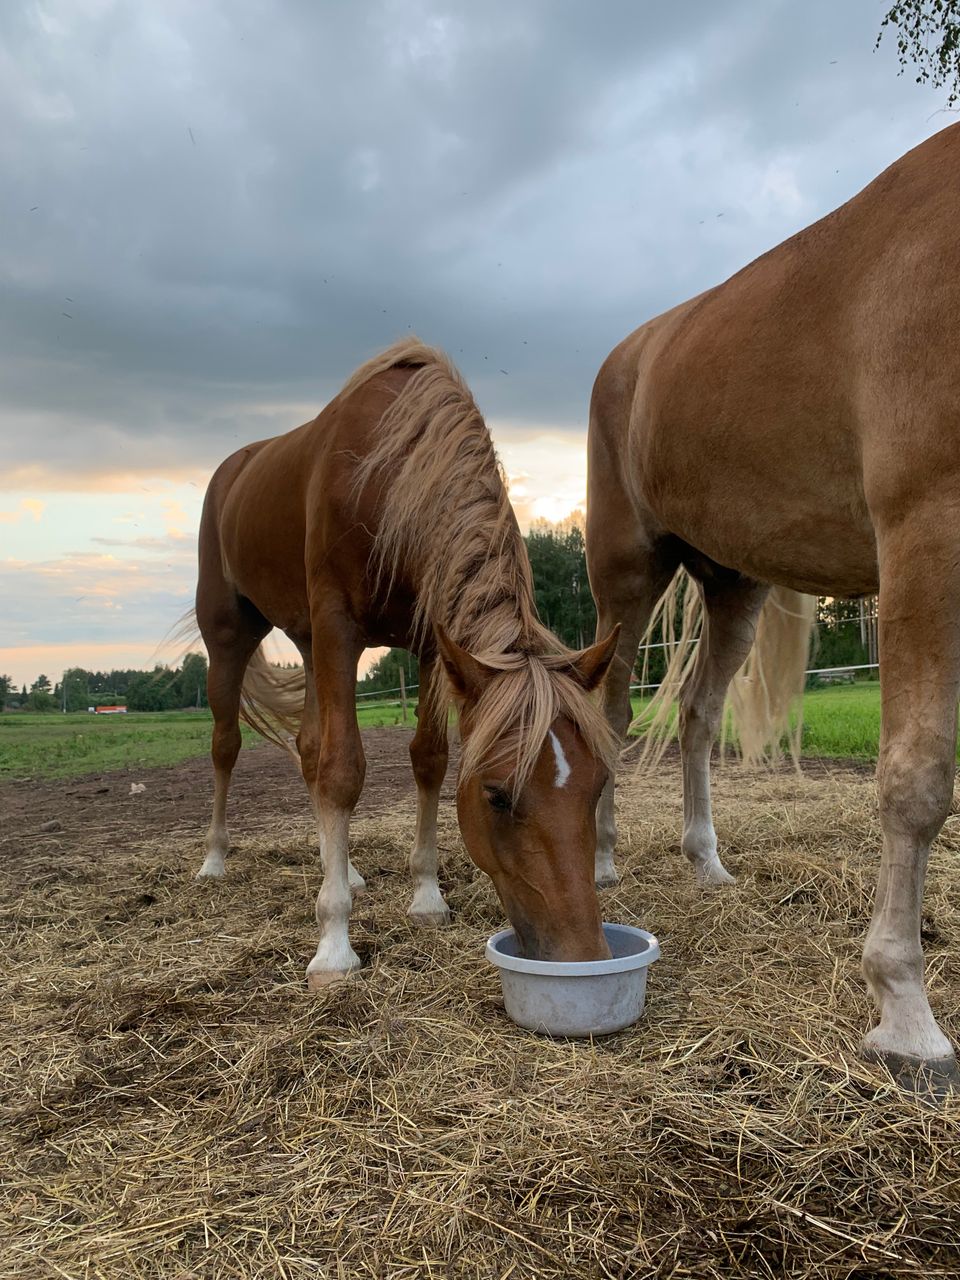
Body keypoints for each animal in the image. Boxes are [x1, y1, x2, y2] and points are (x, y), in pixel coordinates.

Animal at [195, 340, 619, 988]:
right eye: (497, 795)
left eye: (598, 786)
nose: (584, 957)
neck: (388, 475)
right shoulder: (338, 624)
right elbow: (343, 769)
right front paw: (334, 946)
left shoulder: (428, 642)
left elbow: (428, 759)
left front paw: (426, 896)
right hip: (230, 638)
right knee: (226, 744)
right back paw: (215, 859)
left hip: (307, 641)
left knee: (308, 746)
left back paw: (344, 869)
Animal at [586, 124, 960, 1095]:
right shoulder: (927, 527)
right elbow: (916, 780)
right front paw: (906, 1016)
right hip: (626, 579)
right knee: (607, 710)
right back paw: (600, 860)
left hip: (734, 585)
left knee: (696, 714)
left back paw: (707, 862)